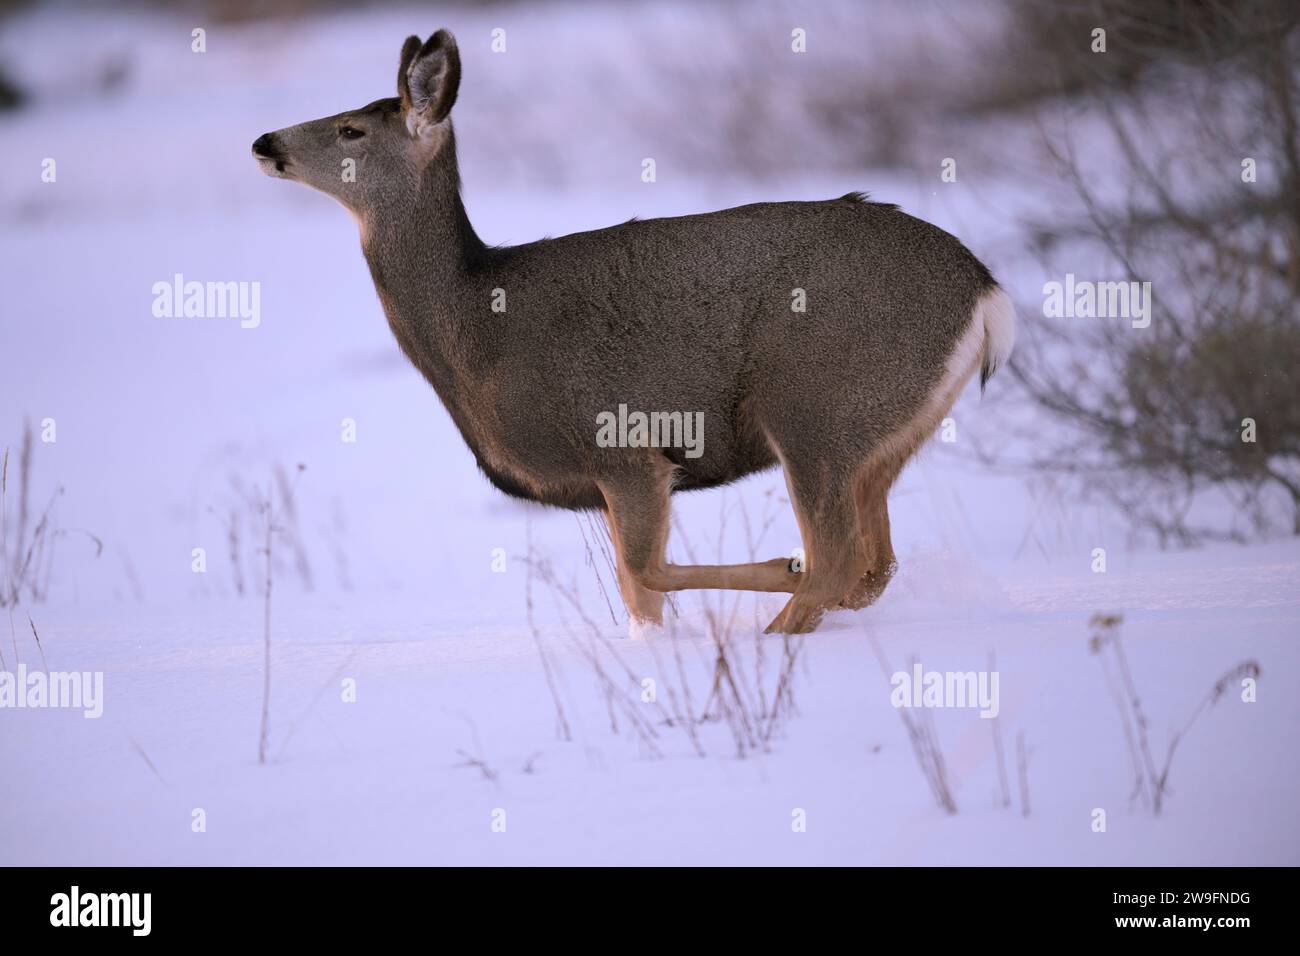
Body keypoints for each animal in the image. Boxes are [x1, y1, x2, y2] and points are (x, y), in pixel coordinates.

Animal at [248, 31, 1008, 634]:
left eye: (351, 130)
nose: (262, 140)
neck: (474, 333)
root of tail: (987, 294)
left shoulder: (624, 445)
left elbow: (645, 571)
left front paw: (772, 570)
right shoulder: (606, 478)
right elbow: (636, 592)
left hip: (816, 407)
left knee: (838, 560)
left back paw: (780, 618)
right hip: (885, 435)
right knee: (875, 563)